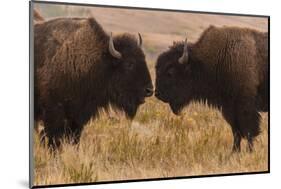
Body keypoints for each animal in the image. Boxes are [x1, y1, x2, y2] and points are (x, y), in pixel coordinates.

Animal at [35, 17, 153, 148]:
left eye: (144, 59)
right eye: (129, 64)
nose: (149, 90)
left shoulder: (77, 117)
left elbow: (74, 137)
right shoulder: (54, 112)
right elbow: (53, 137)